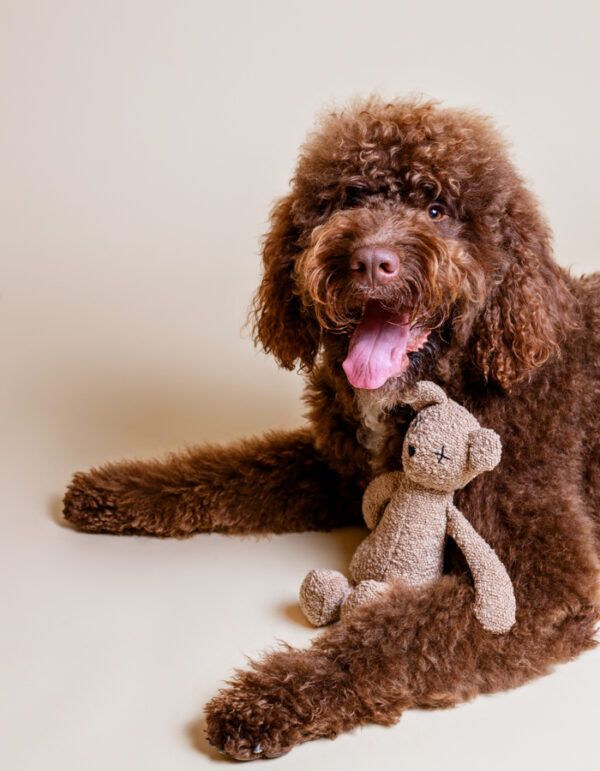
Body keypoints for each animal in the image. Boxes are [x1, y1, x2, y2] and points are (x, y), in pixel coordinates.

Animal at [62, 96, 600, 760]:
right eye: (349, 197)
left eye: (437, 209)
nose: (371, 260)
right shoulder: (339, 472)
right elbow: (221, 472)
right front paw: (116, 489)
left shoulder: (541, 581)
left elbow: (392, 637)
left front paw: (269, 696)